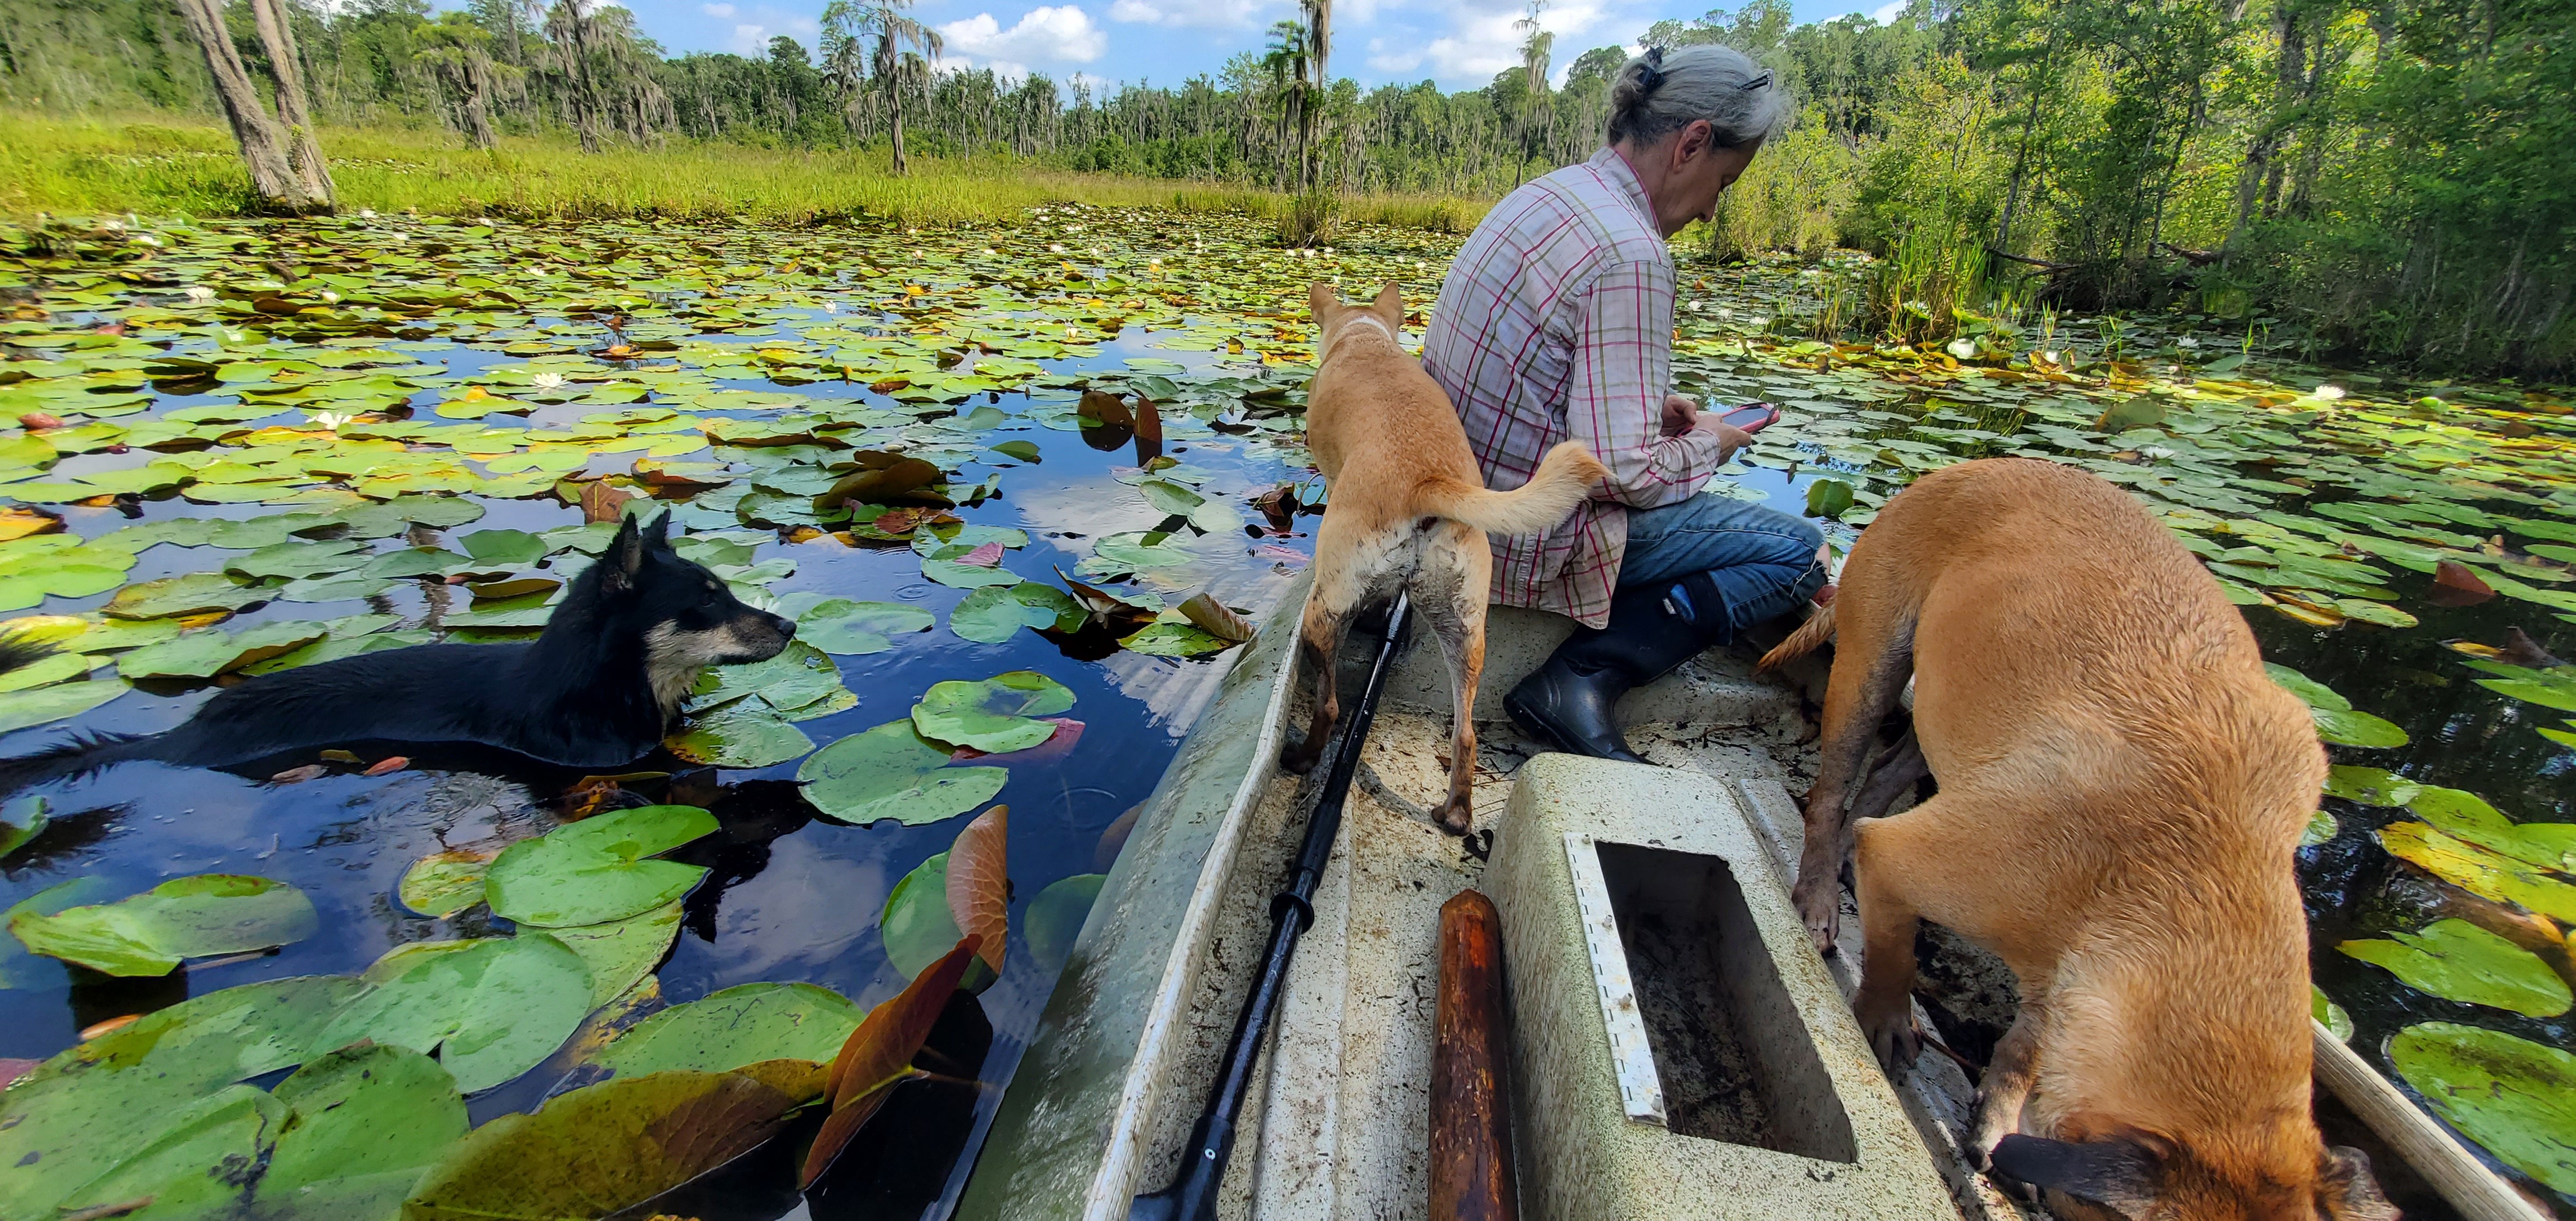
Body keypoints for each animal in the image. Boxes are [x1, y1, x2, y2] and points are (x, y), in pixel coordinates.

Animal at [1288, 282, 1607, 834]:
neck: (1364, 336)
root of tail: (1426, 481)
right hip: (1464, 625)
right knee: (1466, 732)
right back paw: (1456, 813)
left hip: (1323, 613)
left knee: (1329, 706)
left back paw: (1303, 758)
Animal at [1751, 458, 2390, 1221]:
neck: (2195, 881)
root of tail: (1963, 467)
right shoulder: (1907, 863)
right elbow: (1892, 960)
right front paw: (1886, 1025)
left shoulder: (2066, 975)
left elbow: (2028, 1046)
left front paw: (1998, 1124)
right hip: (1872, 665)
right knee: (1831, 799)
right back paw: (1820, 897)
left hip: (1938, 723)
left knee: (1880, 781)